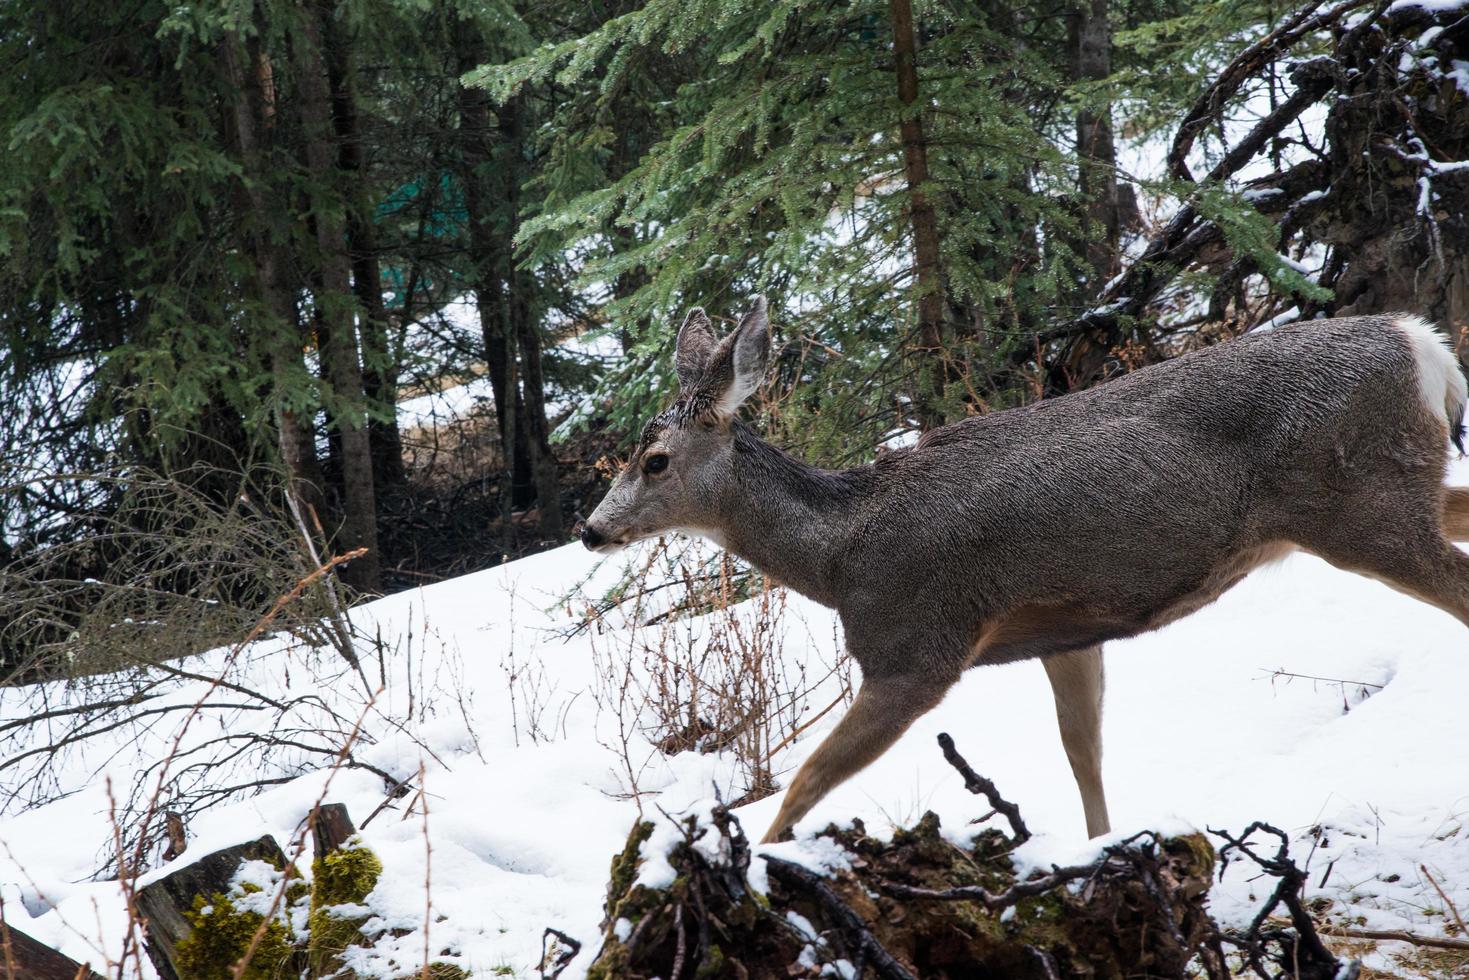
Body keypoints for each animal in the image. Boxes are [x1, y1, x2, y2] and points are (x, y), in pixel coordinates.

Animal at [581, 299, 1469, 846]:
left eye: (654, 461)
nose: (591, 531)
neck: (838, 556)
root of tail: (1422, 344)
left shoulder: (915, 648)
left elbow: (805, 781)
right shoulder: (1064, 632)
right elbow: (1084, 755)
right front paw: (1102, 849)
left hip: (1357, 503)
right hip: (1401, 488)